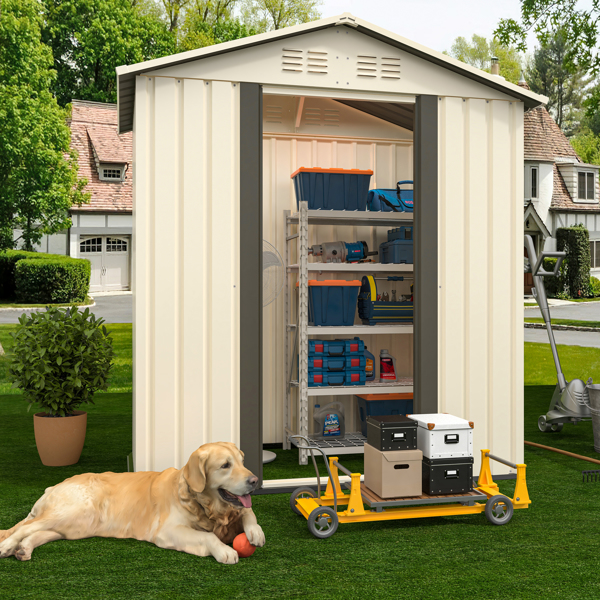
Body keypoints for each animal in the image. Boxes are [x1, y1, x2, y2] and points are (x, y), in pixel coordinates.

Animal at [0, 440, 264, 564]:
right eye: (225, 465)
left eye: (242, 462)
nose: (255, 480)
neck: (203, 504)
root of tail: (54, 485)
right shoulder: (167, 531)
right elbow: (207, 536)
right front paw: (225, 551)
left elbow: (247, 512)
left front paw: (255, 532)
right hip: (74, 510)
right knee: (23, 528)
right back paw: (7, 546)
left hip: (76, 525)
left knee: (38, 532)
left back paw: (23, 549)